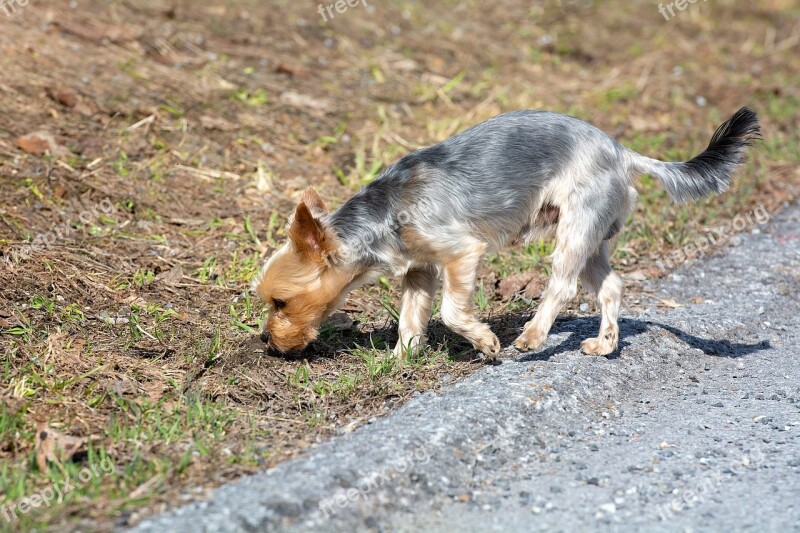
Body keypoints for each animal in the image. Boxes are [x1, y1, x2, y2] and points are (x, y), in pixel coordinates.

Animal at [253, 108, 760, 358]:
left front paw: (484, 343)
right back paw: (604, 345)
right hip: (593, 235)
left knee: (563, 284)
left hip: (577, 227)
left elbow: (451, 312)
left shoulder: (461, 253)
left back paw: (532, 337)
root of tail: (621, 150)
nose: (266, 340)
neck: (383, 215)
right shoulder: (419, 269)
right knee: (610, 285)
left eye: (280, 303)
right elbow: (411, 317)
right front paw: (401, 358)